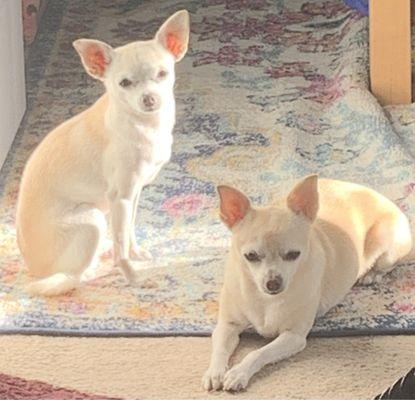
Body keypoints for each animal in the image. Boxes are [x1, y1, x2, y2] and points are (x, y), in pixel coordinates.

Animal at [15, 10, 190, 296]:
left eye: (162, 74)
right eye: (124, 83)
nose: (149, 99)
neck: (144, 125)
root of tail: (33, 268)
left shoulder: (133, 194)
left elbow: (128, 231)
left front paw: (136, 254)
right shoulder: (121, 197)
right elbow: (121, 246)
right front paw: (133, 278)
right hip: (92, 219)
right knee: (70, 277)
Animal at [203, 175, 412, 390]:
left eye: (294, 255)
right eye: (250, 256)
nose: (273, 283)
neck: (265, 300)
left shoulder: (293, 336)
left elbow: (259, 352)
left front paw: (239, 373)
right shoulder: (227, 326)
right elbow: (219, 350)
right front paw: (215, 372)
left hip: (388, 248)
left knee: (387, 264)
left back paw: (372, 274)